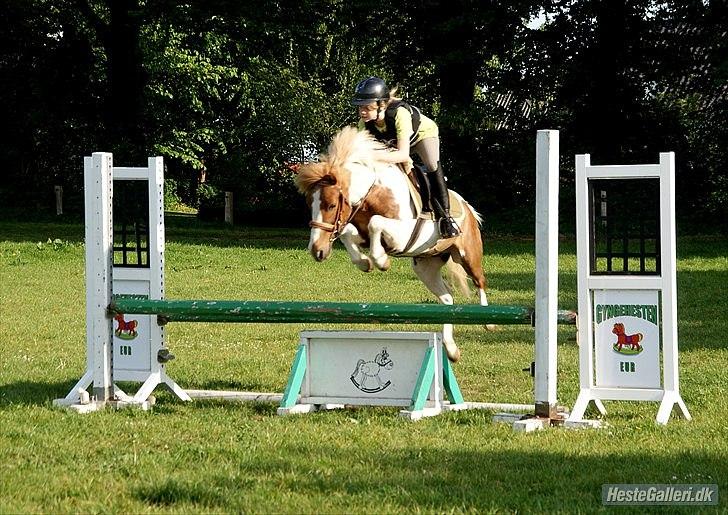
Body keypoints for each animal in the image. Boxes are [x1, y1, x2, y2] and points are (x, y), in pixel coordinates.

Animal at [294, 128, 490, 362]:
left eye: (331, 205)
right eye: (309, 204)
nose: (317, 250)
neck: (374, 194)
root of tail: (467, 207)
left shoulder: (405, 234)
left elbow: (375, 222)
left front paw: (381, 261)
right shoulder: (362, 232)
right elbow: (348, 233)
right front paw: (365, 262)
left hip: (467, 254)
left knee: (480, 281)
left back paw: (488, 322)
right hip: (426, 266)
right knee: (447, 298)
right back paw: (451, 349)